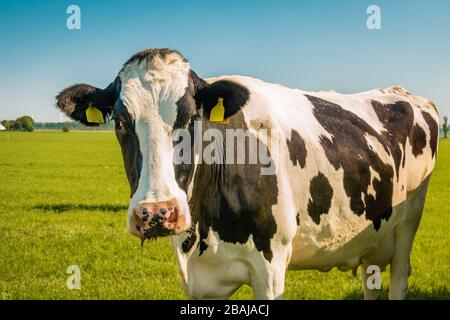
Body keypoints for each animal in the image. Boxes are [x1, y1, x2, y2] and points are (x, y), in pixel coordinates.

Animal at [56, 48, 440, 300]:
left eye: (191, 117)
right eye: (121, 122)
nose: (157, 213)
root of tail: (403, 92)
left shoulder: (270, 270)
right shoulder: (199, 282)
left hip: (407, 226)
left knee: (399, 278)